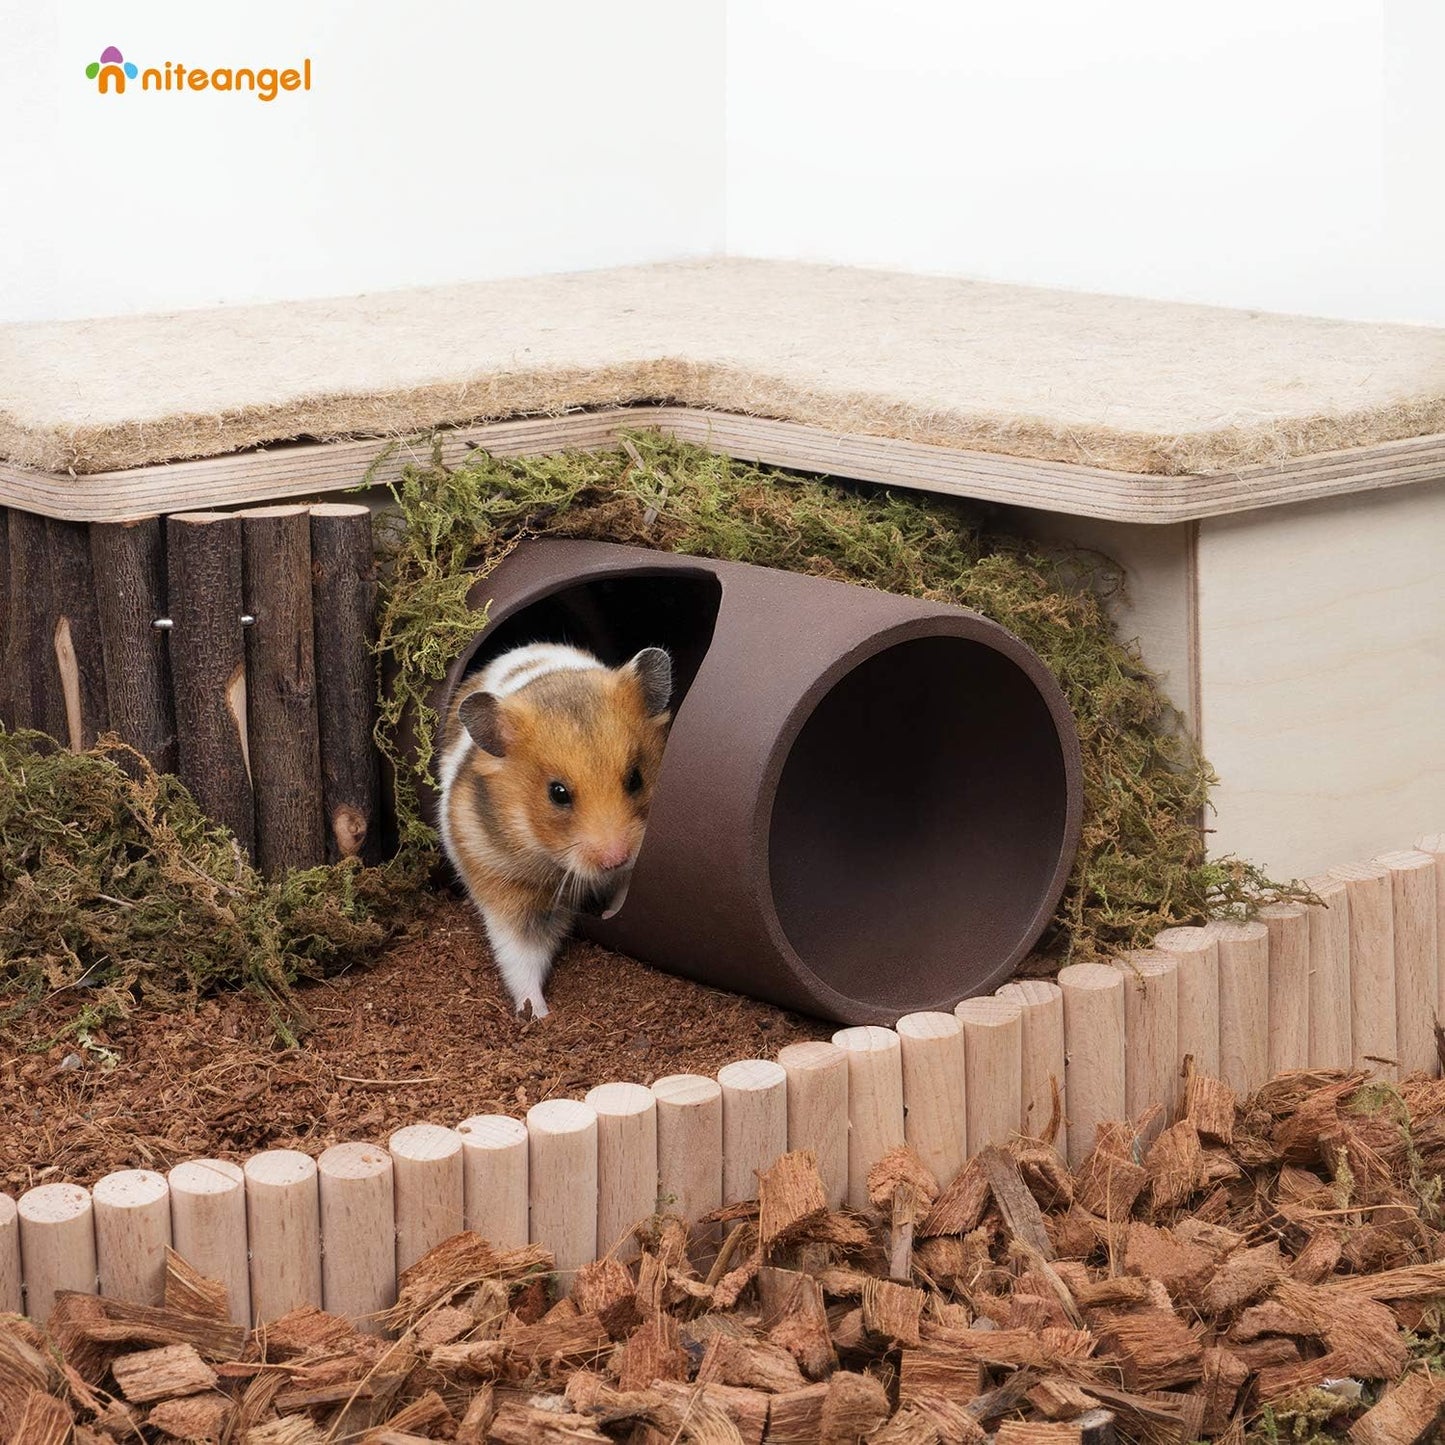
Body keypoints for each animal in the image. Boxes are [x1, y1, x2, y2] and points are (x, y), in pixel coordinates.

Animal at [438, 641, 673, 1018]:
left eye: (636, 778)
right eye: (557, 793)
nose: (615, 859)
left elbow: (625, 891)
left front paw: (608, 911)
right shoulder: (507, 888)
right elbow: (520, 960)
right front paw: (539, 1016)